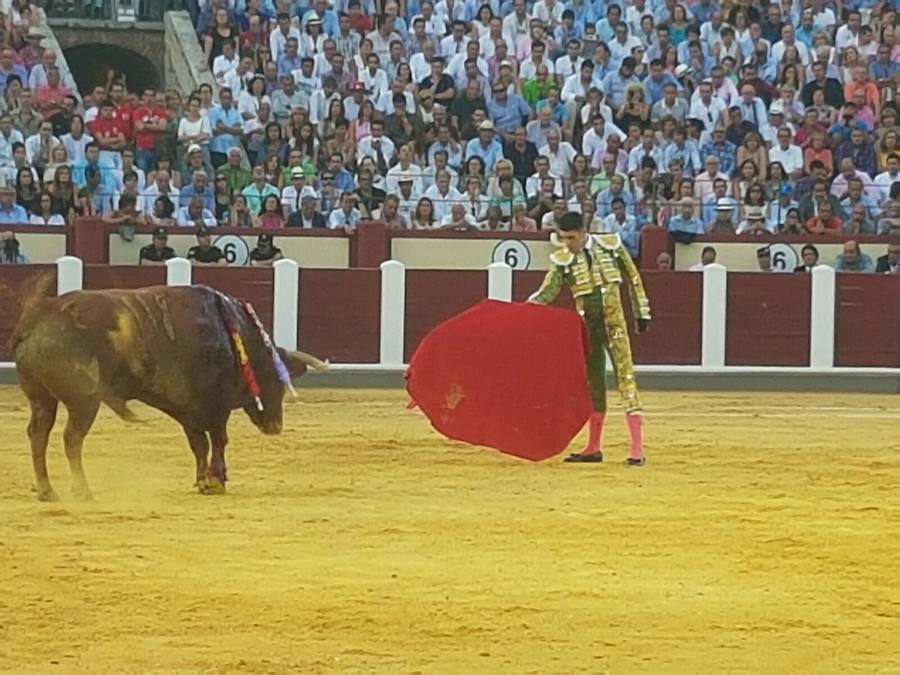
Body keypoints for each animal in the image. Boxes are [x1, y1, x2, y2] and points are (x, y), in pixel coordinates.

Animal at [11, 282, 326, 502]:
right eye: (277, 380)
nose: (275, 426)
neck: (233, 336)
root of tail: (36, 318)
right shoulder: (216, 404)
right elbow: (218, 440)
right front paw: (215, 481)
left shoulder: (186, 408)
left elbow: (199, 444)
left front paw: (203, 480)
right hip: (84, 400)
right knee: (72, 438)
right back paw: (83, 491)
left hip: (42, 398)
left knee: (38, 433)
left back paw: (47, 491)